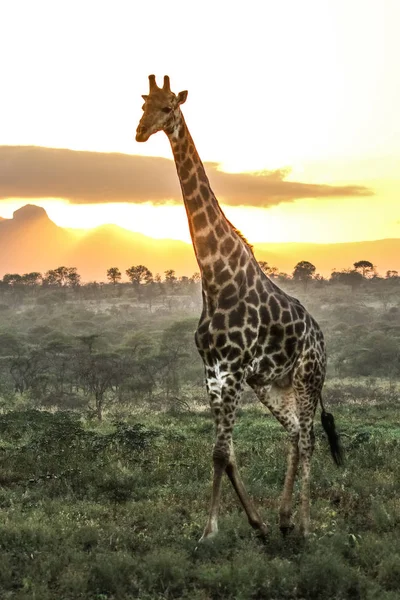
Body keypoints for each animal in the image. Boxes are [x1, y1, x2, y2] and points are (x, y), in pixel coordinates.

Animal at [136, 74, 342, 540]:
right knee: (294, 434)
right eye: (143, 104)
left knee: (309, 439)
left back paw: (305, 525)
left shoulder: (230, 370)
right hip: (272, 385)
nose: (139, 132)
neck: (216, 278)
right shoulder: (213, 370)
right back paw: (283, 519)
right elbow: (225, 452)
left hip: (307, 378)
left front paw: (209, 532)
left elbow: (219, 452)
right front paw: (257, 523)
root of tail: (322, 338)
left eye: (169, 107)